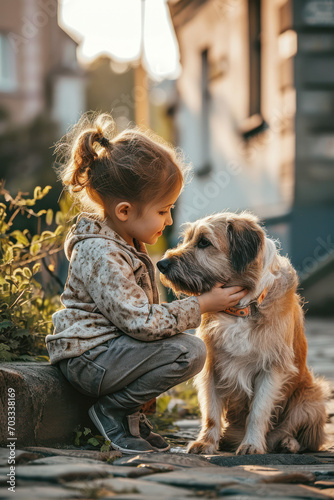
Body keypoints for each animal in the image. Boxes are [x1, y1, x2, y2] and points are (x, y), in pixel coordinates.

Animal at [157, 209, 328, 456]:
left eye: (204, 242)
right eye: (188, 239)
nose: (161, 264)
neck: (241, 310)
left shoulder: (271, 368)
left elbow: (258, 411)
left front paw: (252, 444)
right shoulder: (212, 367)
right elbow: (211, 412)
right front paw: (206, 442)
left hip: (312, 397)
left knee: (302, 436)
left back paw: (288, 443)